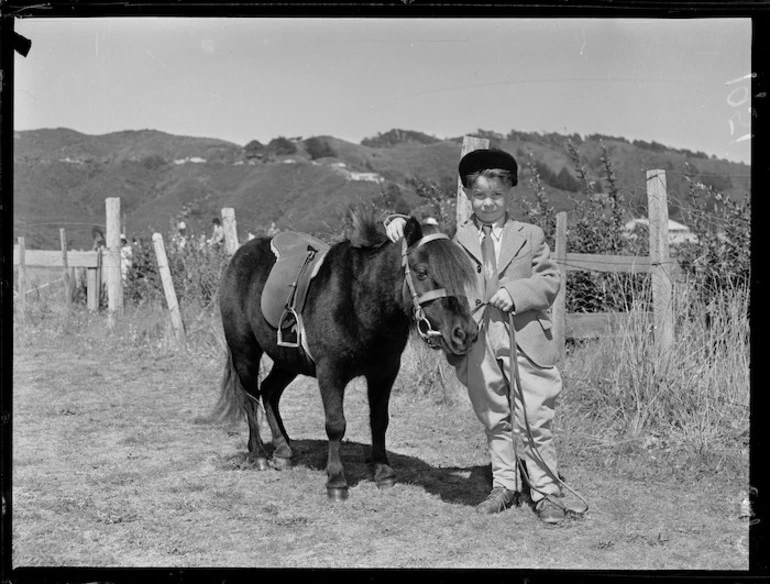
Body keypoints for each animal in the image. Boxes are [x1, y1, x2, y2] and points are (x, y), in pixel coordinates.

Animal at [210, 212, 474, 500]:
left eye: (462, 274)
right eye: (422, 271)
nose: (465, 333)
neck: (360, 301)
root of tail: (239, 256)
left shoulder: (384, 372)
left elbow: (379, 420)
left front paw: (383, 473)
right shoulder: (330, 372)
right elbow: (336, 425)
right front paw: (336, 481)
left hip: (287, 361)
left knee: (269, 391)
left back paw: (283, 450)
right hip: (244, 352)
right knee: (250, 398)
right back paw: (259, 455)